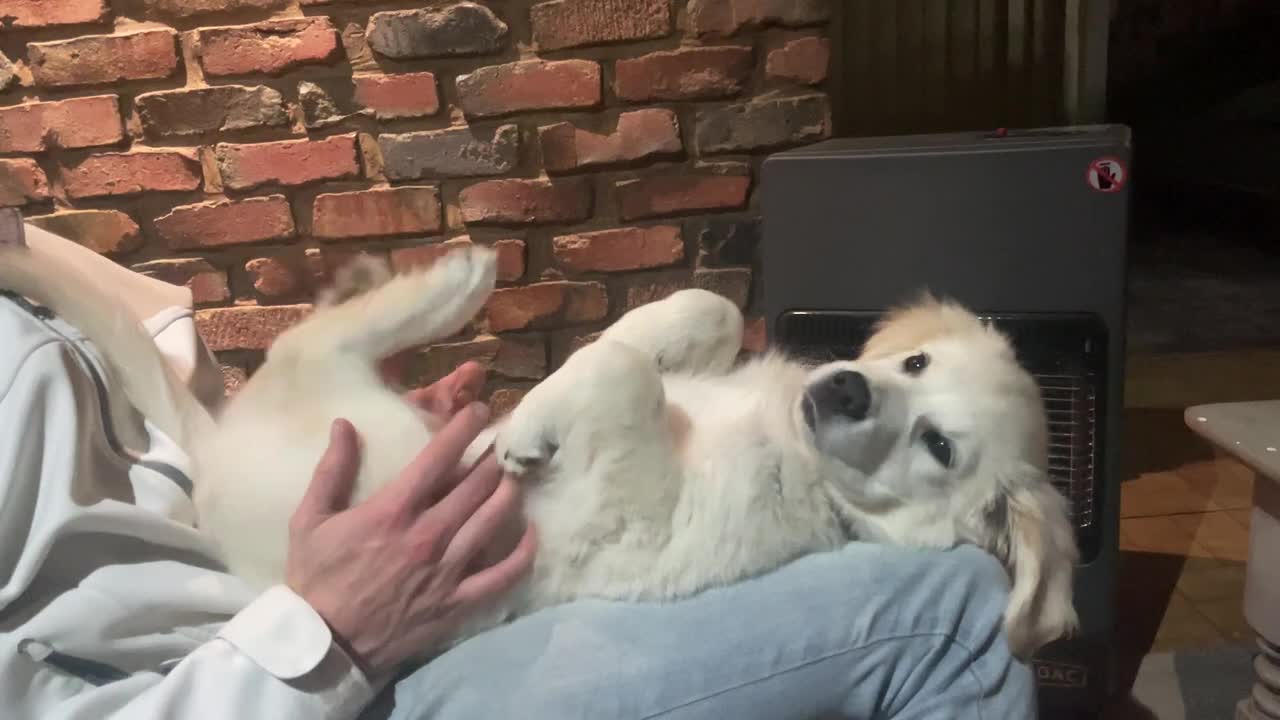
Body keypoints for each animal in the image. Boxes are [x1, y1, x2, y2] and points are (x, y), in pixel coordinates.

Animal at [0, 243, 1080, 661]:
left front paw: (524, 431)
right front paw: (551, 392)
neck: (784, 440)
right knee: (316, 333)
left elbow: (621, 378)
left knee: (300, 340)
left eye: (939, 446)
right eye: (913, 359)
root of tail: (217, 448)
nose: (843, 387)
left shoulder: (641, 513)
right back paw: (431, 283)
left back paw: (450, 279)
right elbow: (687, 318)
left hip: (332, 403)